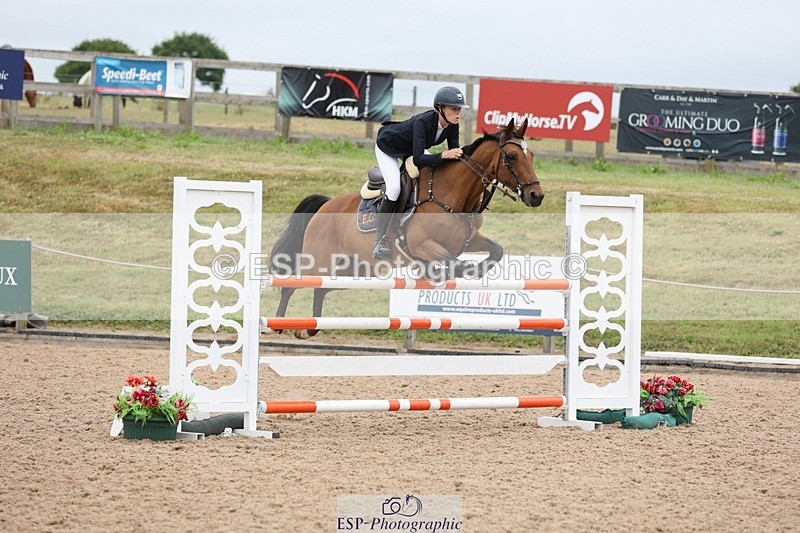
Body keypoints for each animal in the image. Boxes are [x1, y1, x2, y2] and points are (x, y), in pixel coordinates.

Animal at [269, 118, 544, 338]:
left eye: (531, 156)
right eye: (512, 157)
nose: (536, 196)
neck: (452, 195)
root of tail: (325, 206)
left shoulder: (469, 240)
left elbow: (496, 250)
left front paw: (476, 271)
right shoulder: (422, 245)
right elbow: (453, 261)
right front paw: (453, 271)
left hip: (351, 270)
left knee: (321, 289)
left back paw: (309, 328)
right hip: (318, 263)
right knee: (292, 285)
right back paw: (278, 324)